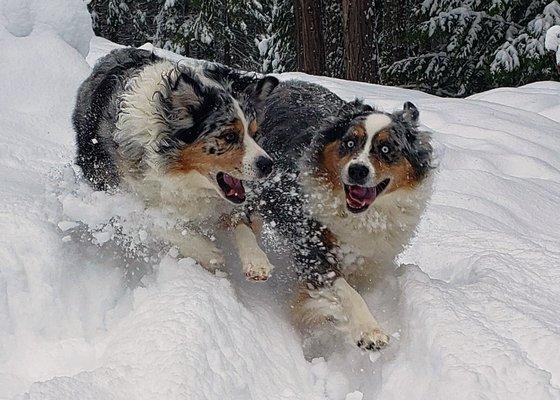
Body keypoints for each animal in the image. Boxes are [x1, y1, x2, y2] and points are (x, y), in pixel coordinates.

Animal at [73, 48, 280, 282]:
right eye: (229, 136)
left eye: (254, 133)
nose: (268, 165)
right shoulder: (122, 197)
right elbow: (155, 220)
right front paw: (209, 253)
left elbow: (241, 222)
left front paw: (256, 259)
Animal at [250, 80, 434, 350]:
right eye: (350, 142)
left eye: (386, 149)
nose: (357, 170)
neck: (363, 216)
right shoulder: (311, 245)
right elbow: (345, 291)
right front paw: (368, 330)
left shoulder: (372, 259)